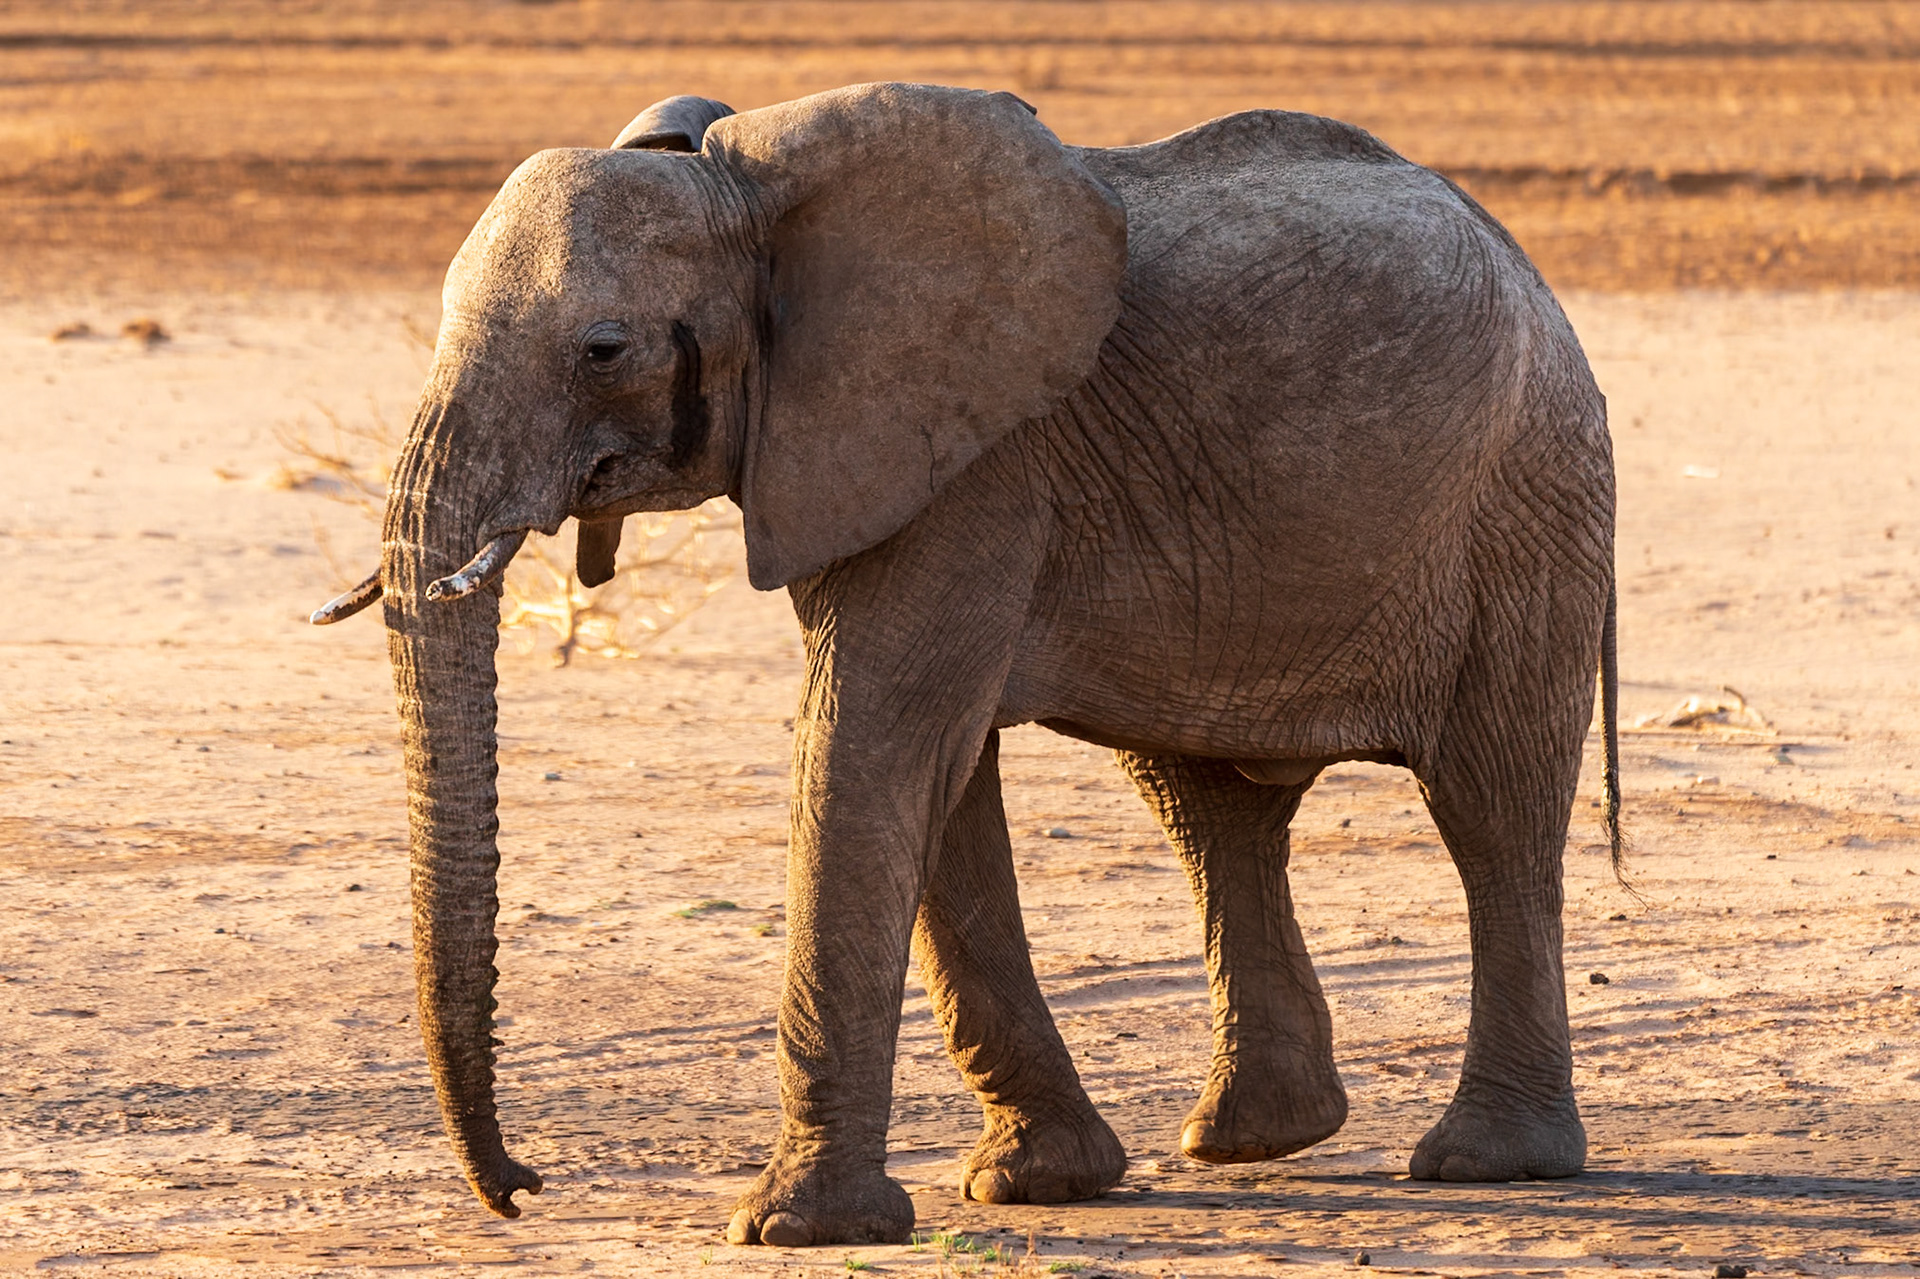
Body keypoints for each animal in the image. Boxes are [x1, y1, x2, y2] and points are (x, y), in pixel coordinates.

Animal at [313, 81, 1621, 1247]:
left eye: (602, 349)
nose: (523, 1188)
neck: (748, 188)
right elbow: (931, 775)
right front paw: (1037, 1183)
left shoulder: (974, 458)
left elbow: (870, 746)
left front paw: (793, 1228)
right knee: (1207, 808)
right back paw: (1253, 1139)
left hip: (1530, 498)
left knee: (1491, 807)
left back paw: (1487, 1164)